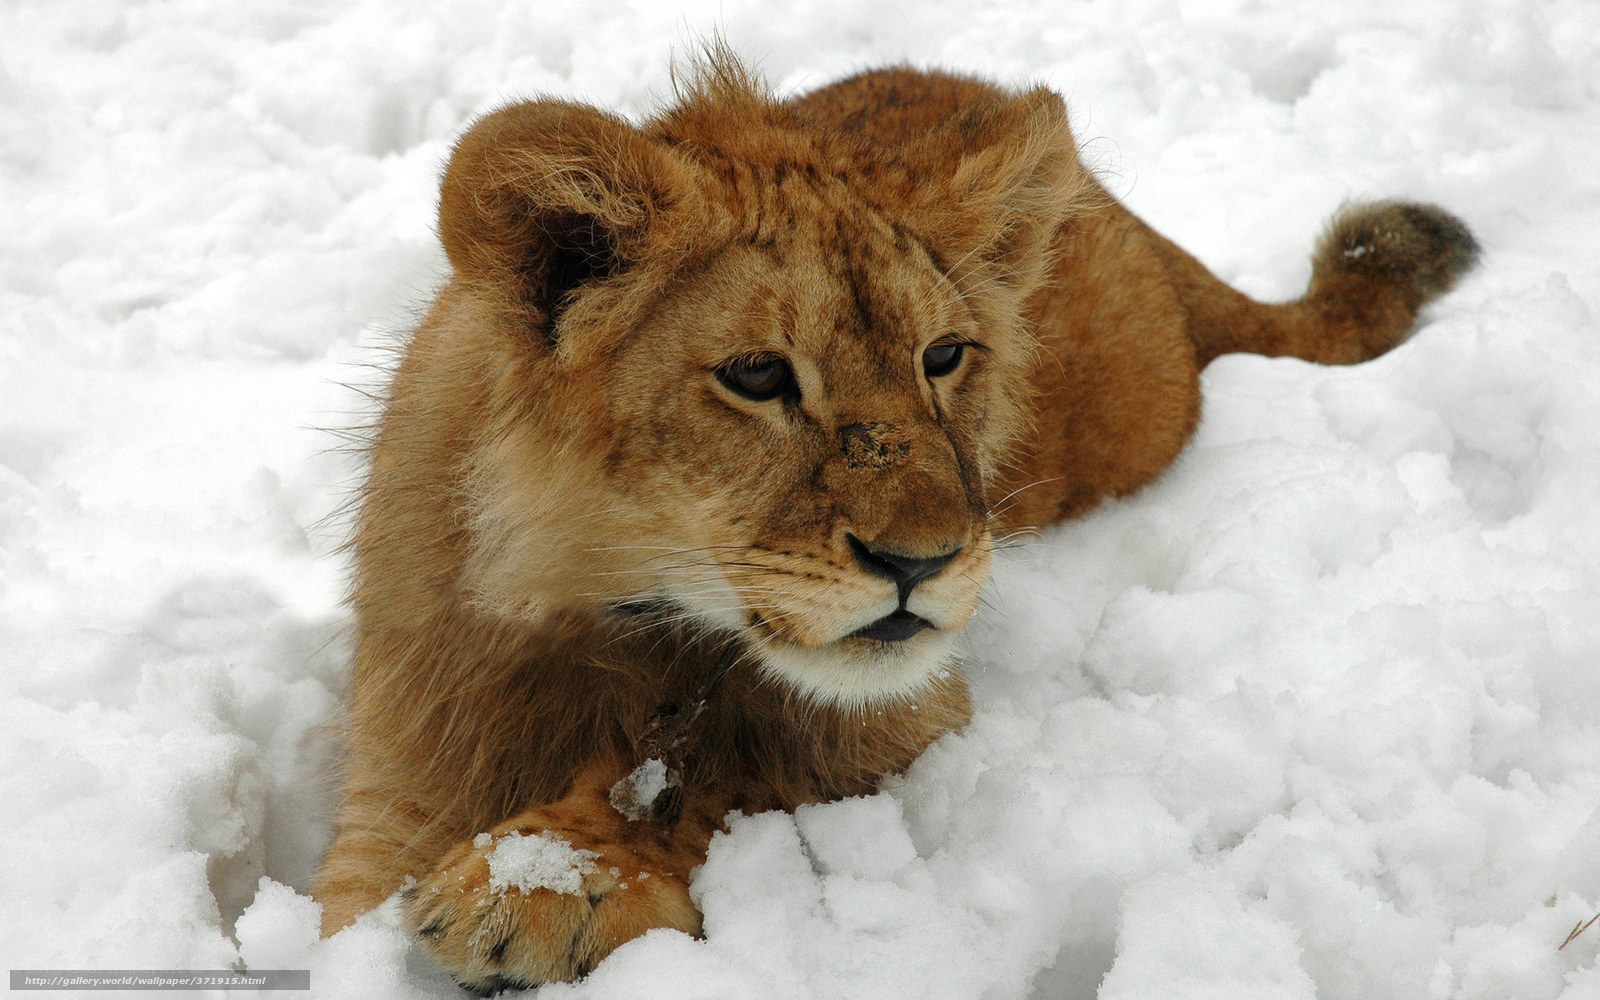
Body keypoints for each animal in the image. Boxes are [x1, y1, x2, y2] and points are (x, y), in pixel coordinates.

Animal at [313, 54, 1477, 991]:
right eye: (756, 375)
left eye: (944, 357)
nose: (923, 562)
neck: (602, 609)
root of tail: (1134, 222)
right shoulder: (397, 781)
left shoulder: (907, 715)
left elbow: (732, 763)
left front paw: (549, 883)